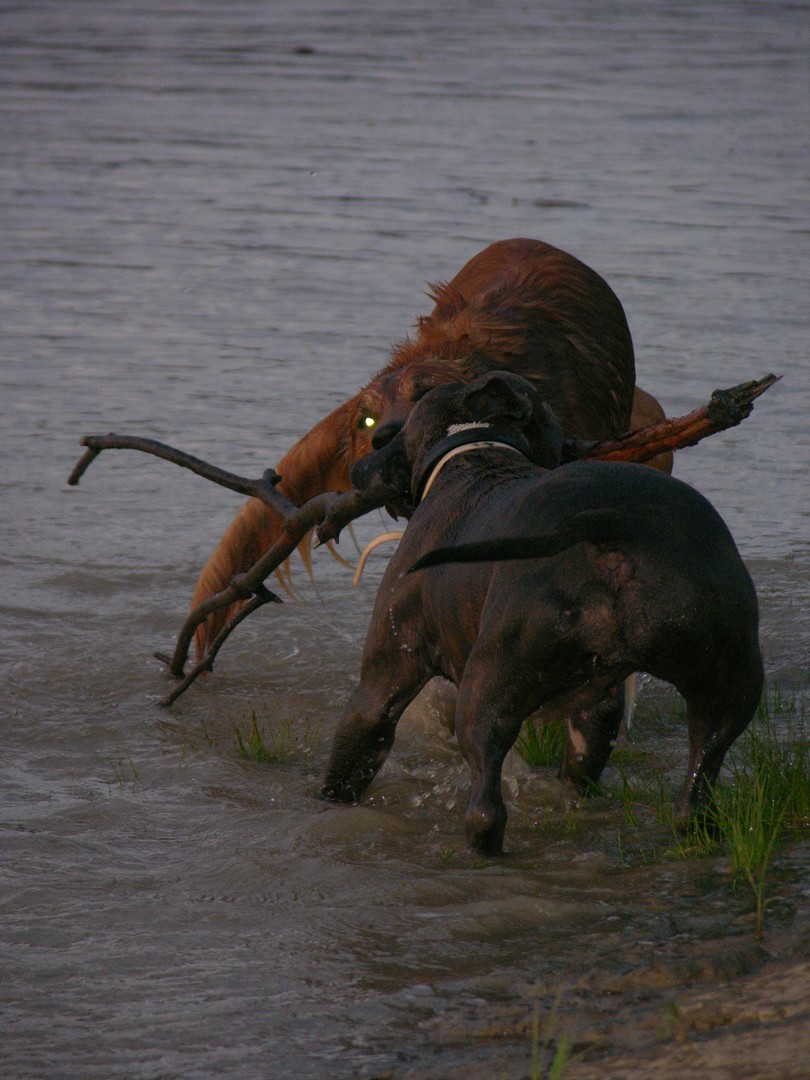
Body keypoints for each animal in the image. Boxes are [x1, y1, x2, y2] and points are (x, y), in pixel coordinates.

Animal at [319, 371, 764, 851]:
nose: (363, 464)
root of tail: (613, 522)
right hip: (728, 682)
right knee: (697, 785)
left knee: (485, 804)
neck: (470, 450)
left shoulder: (381, 684)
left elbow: (351, 756)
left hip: (488, 684)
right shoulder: (597, 703)